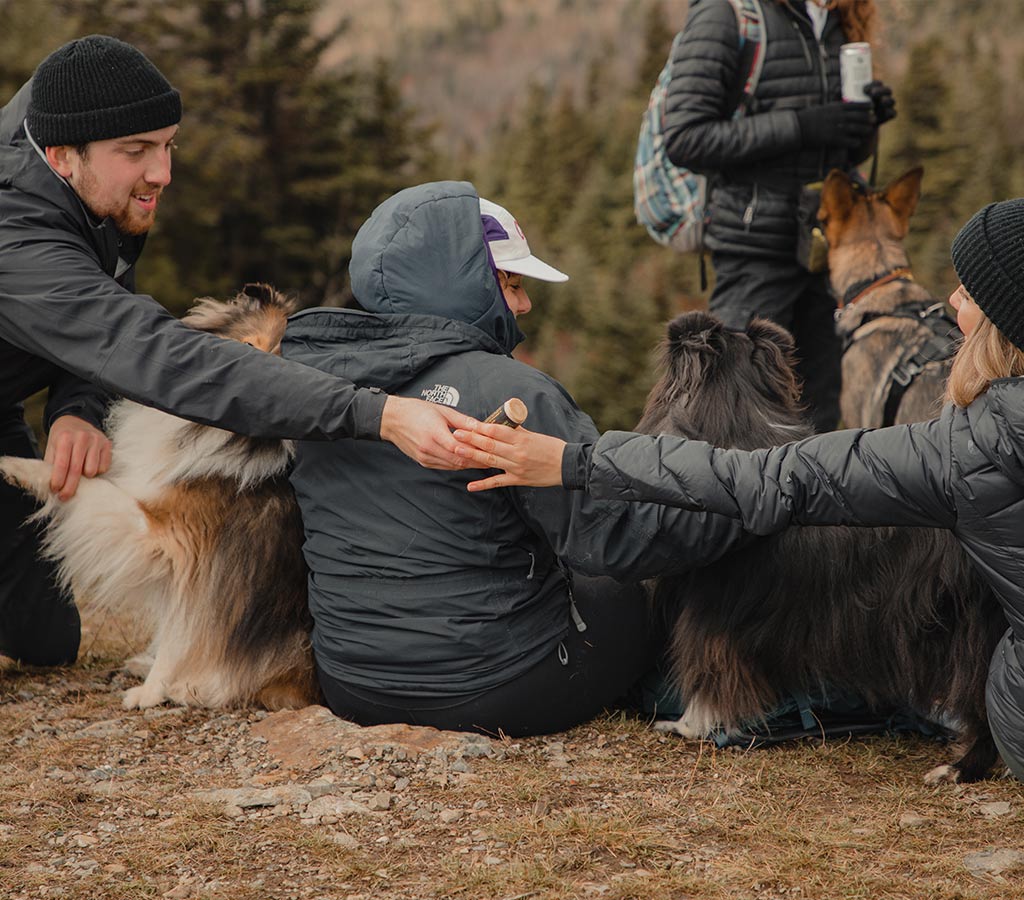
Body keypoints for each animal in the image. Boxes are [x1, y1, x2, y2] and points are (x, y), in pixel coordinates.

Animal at [0, 286, 319, 712]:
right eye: (250, 345)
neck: (220, 433)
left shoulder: (178, 541)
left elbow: (179, 631)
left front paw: (152, 692)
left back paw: (193, 688)